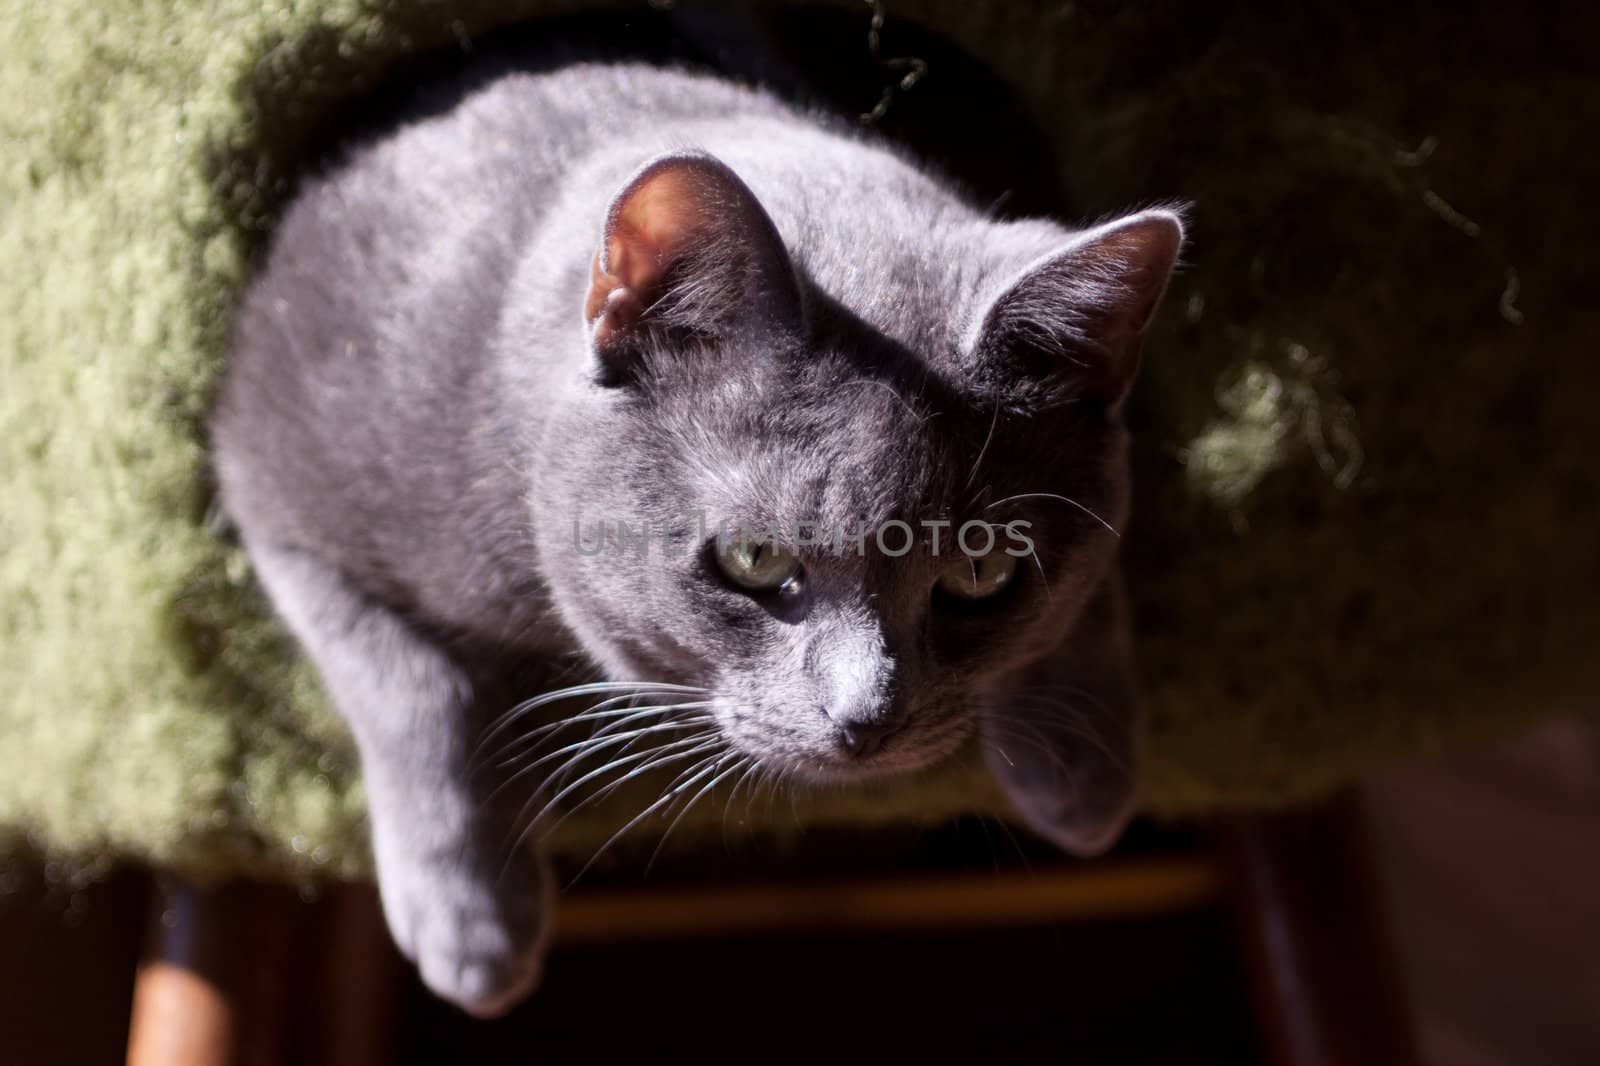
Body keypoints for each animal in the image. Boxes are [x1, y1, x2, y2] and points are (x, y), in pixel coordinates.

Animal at [209, 58, 1190, 1011]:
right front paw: (474, 928)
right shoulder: (270, 483)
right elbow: (411, 684)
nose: (866, 717)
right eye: (756, 559)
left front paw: (1085, 770)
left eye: (982, 574)